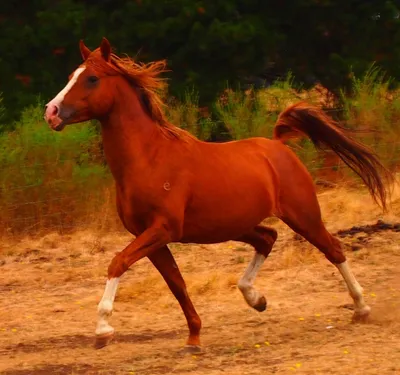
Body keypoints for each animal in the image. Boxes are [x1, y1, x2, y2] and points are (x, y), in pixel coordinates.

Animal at [44, 38, 394, 352]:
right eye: (71, 76)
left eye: (91, 78)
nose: (51, 112)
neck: (149, 158)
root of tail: (277, 144)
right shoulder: (150, 236)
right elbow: (176, 284)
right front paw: (193, 339)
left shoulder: (162, 229)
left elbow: (118, 263)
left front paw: (103, 329)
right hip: (233, 225)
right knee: (267, 238)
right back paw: (256, 299)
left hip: (302, 215)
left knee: (333, 249)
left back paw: (361, 308)